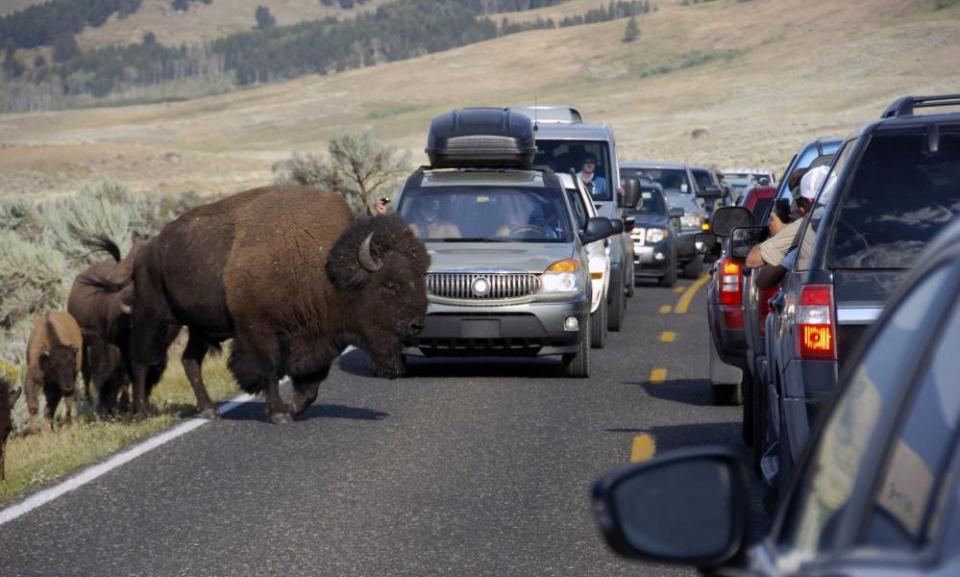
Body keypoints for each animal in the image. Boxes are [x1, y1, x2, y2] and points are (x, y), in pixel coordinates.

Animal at [106, 187, 428, 420]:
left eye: (420, 278)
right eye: (389, 285)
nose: (417, 324)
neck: (324, 268)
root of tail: (146, 250)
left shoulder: (317, 338)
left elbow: (311, 382)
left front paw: (294, 408)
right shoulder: (258, 331)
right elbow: (270, 369)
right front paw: (279, 413)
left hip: (200, 327)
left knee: (189, 361)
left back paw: (209, 410)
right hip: (154, 318)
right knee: (141, 361)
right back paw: (142, 413)